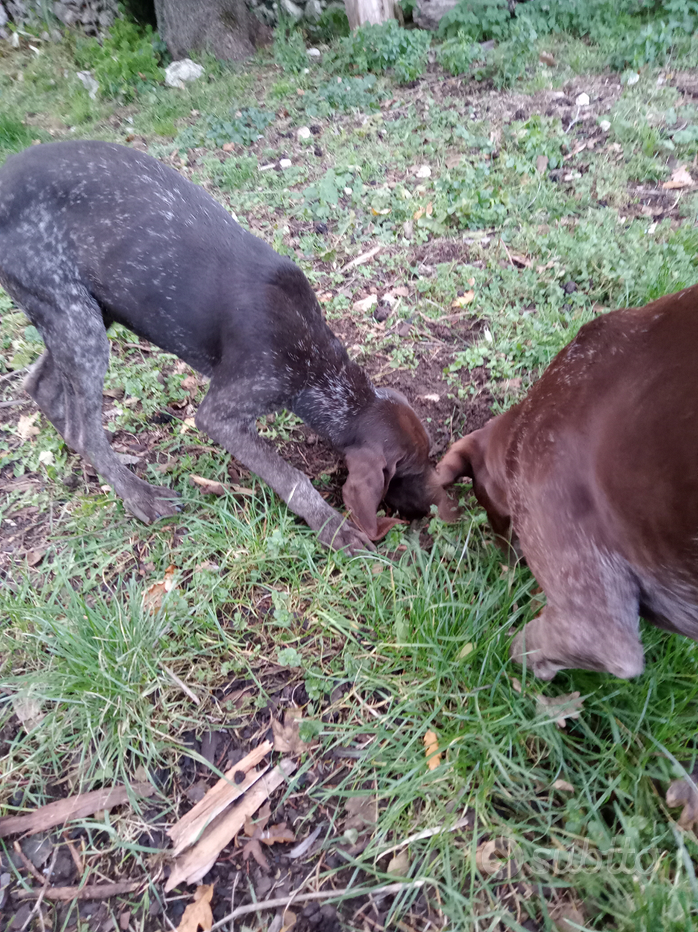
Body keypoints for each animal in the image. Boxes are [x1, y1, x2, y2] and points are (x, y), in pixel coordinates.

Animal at [0, 139, 454, 552]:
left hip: (91, 308)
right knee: (83, 428)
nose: (433, 507)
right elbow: (290, 477)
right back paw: (138, 495)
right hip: (75, 316)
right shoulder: (223, 413)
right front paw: (330, 525)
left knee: (44, 389)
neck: (317, 359)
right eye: (407, 472)